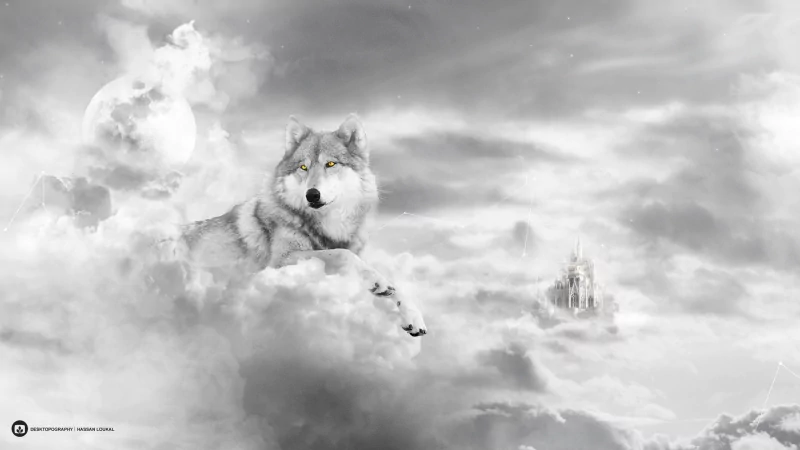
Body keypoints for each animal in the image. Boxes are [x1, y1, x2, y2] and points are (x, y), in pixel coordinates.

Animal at [178, 114, 427, 337]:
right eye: (303, 167)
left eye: (330, 164)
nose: (312, 194)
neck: (327, 227)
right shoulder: (279, 261)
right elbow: (342, 254)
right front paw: (377, 281)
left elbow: (394, 287)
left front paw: (413, 316)